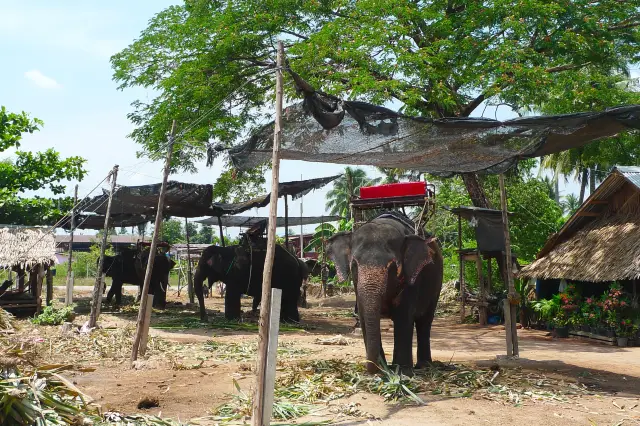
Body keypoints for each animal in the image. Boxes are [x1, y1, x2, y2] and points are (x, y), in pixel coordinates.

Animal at [326, 214, 443, 374]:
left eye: (392, 266)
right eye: (354, 265)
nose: (373, 367)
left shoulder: (412, 278)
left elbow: (404, 316)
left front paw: (402, 370)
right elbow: (363, 315)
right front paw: (382, 369)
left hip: (436, 285)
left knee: (425, 321)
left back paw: (424, 366)